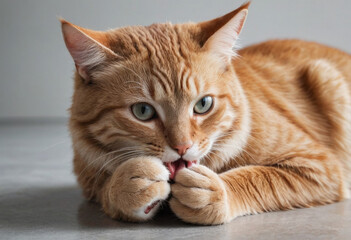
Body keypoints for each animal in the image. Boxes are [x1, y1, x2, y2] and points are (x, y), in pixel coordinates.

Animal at [61, 1, 351, 224]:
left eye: (203, 104)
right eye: (142, 111)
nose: (182, 147)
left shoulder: (319, 165)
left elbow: (259, 177)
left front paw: (217, 193)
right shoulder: (89, 179)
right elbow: (107, 190)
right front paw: (125, 184)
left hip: (326, 77)